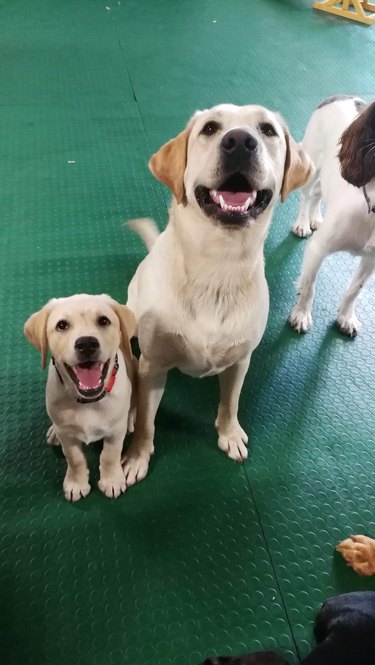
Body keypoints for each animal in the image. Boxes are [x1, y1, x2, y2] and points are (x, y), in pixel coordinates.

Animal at [23, 294, 135, 500]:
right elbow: (74, 459)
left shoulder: (115, 432)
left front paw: (112, 480)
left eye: (104, 321)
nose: (87, 344)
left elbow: (110, 456)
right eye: (62, 325)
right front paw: (76, 483)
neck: (89, 402)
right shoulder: (67, 436)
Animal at [122, 102, 312, 482]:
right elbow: (148, 421)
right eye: (209, 128)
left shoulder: (240, 361)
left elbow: (230, 403)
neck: (217, 268)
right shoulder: (152, 366)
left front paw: (229, 434)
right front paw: (136, 457)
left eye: (267, 130)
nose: (240, 142)